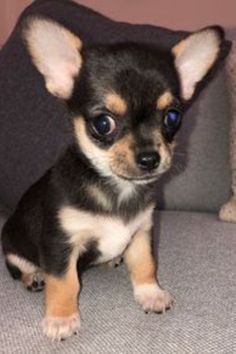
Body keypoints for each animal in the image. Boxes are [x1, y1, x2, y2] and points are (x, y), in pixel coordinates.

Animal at [0, 16, 227, 340]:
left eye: (172, 117)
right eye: (102, 123)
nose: (150, 158)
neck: (119, 189)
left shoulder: (142, 233)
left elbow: (146, 265)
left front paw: (150, 293)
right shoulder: (60, 245)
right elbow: (64, 282)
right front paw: (61, 318)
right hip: (13, 246)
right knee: (19, 268)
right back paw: (34, 276)